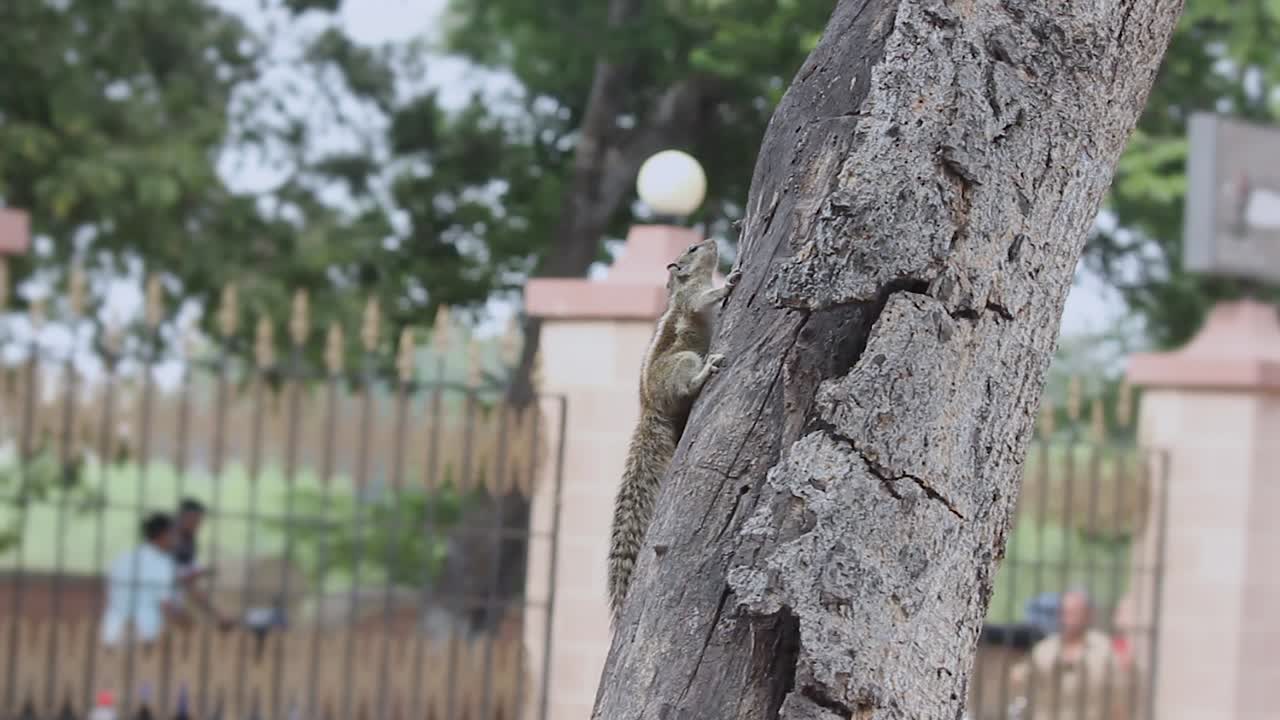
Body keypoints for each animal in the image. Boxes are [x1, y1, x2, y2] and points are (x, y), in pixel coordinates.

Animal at [607, 237, 740, 626]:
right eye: (694, 248)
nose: (713, 241)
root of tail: (650, 409)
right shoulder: (693, 299)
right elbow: (706, 298)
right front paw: (729, 282)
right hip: (683, 362)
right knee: (689, 384)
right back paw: (706, 371)